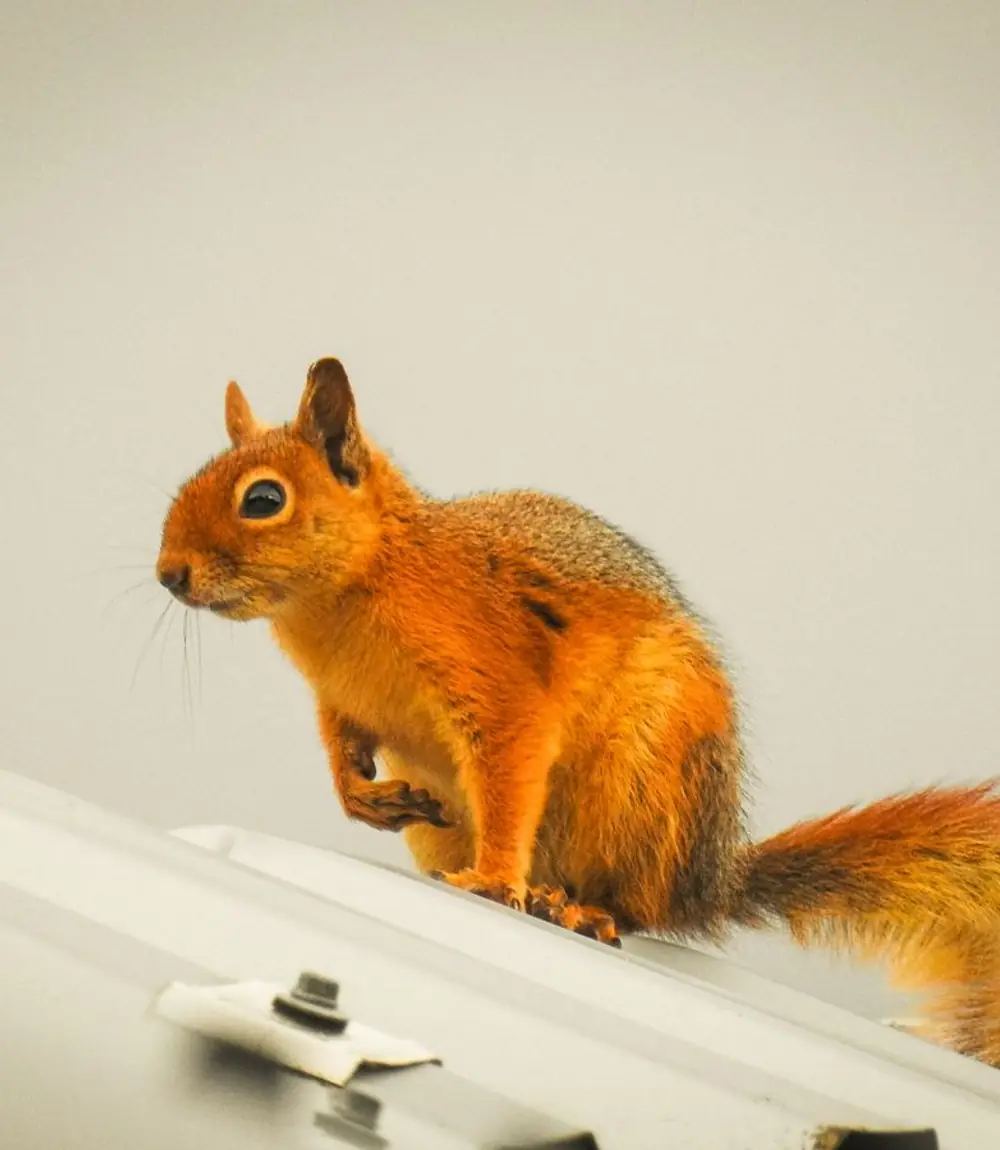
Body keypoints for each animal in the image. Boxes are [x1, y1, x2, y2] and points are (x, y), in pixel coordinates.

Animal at [157, 356, 1000, 1067]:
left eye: (264, 499)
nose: (169, 573)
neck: (344, 600)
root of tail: (708, 878)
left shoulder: (497, 684)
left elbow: (509, 775)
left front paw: (493, 876)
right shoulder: (339, 702)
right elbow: (341, 755)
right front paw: (368, 800)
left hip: (642, 789)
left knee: (635, 904)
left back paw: (575, 908)